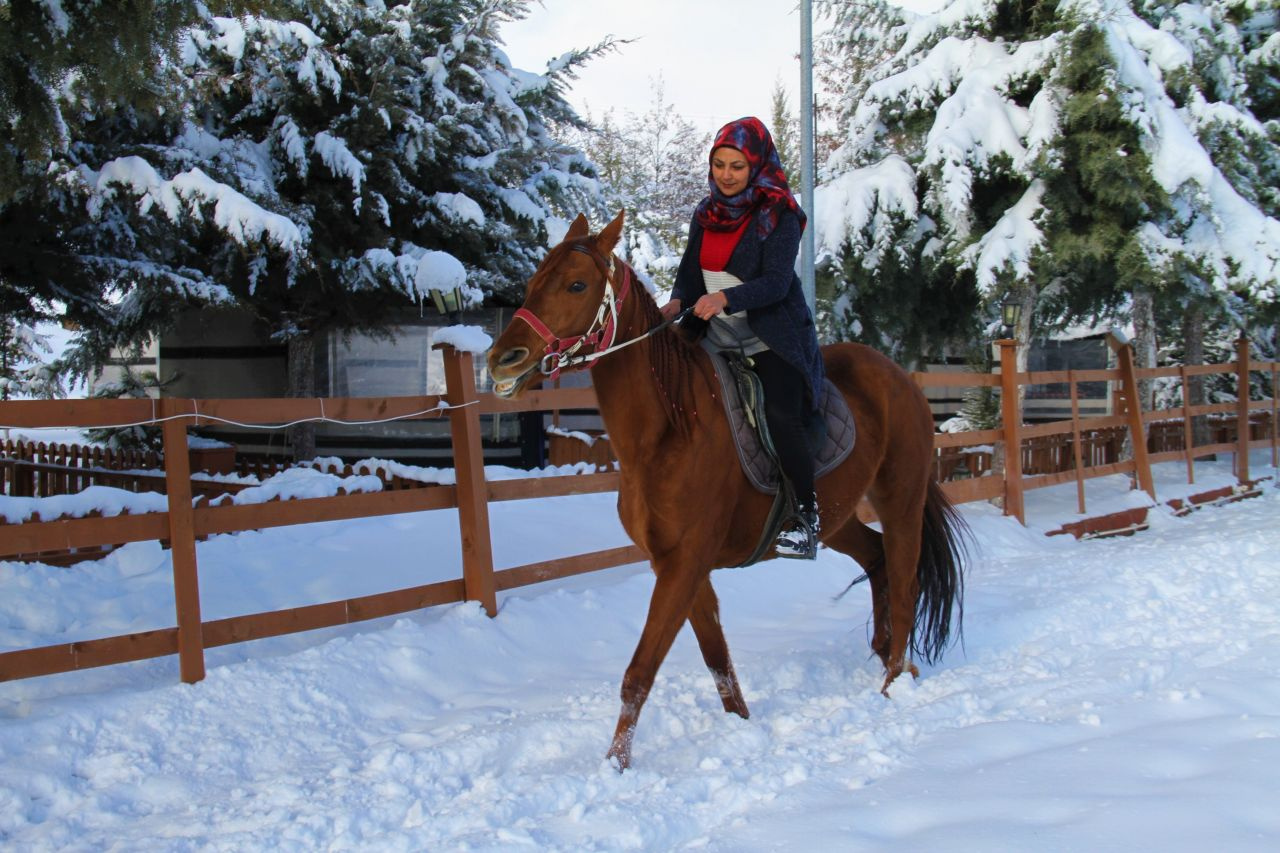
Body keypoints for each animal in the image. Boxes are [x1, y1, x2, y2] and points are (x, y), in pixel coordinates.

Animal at [483, 208, 962, 768]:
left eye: (576, 285)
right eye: (533, 282)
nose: (503, 359)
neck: (669, 430)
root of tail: (901, 378)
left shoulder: (685, 563)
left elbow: (638, 674)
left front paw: (615, 767)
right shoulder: (676, 565)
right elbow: (717, 661)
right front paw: (742, 727)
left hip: (900, 498)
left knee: (905, 582)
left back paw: (892, 684)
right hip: (838, 517)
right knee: (878, 560)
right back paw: (889, 658)